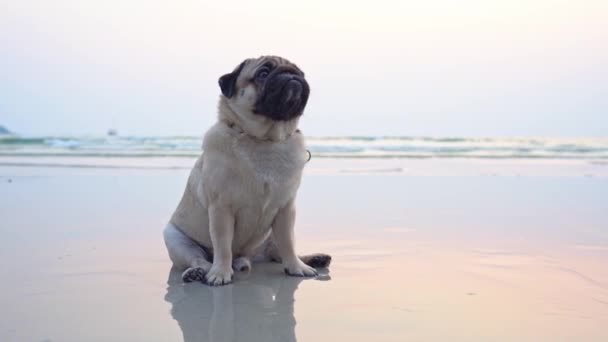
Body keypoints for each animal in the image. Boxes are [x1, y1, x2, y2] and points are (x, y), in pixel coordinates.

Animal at [164, 56, 330, 286]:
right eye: (263, 73)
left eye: (300, 72)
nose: (291, 74)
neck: (265, 141)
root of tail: (247, 257)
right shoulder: (221, 209)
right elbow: (223, 246)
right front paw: (220, 273)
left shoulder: (286, 209)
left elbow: (288, 243)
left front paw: (296, 268)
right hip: (175, 238)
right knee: (199, 258)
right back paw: (198, 272)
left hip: (270, 236)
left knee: (276, 252)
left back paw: (313, 259)